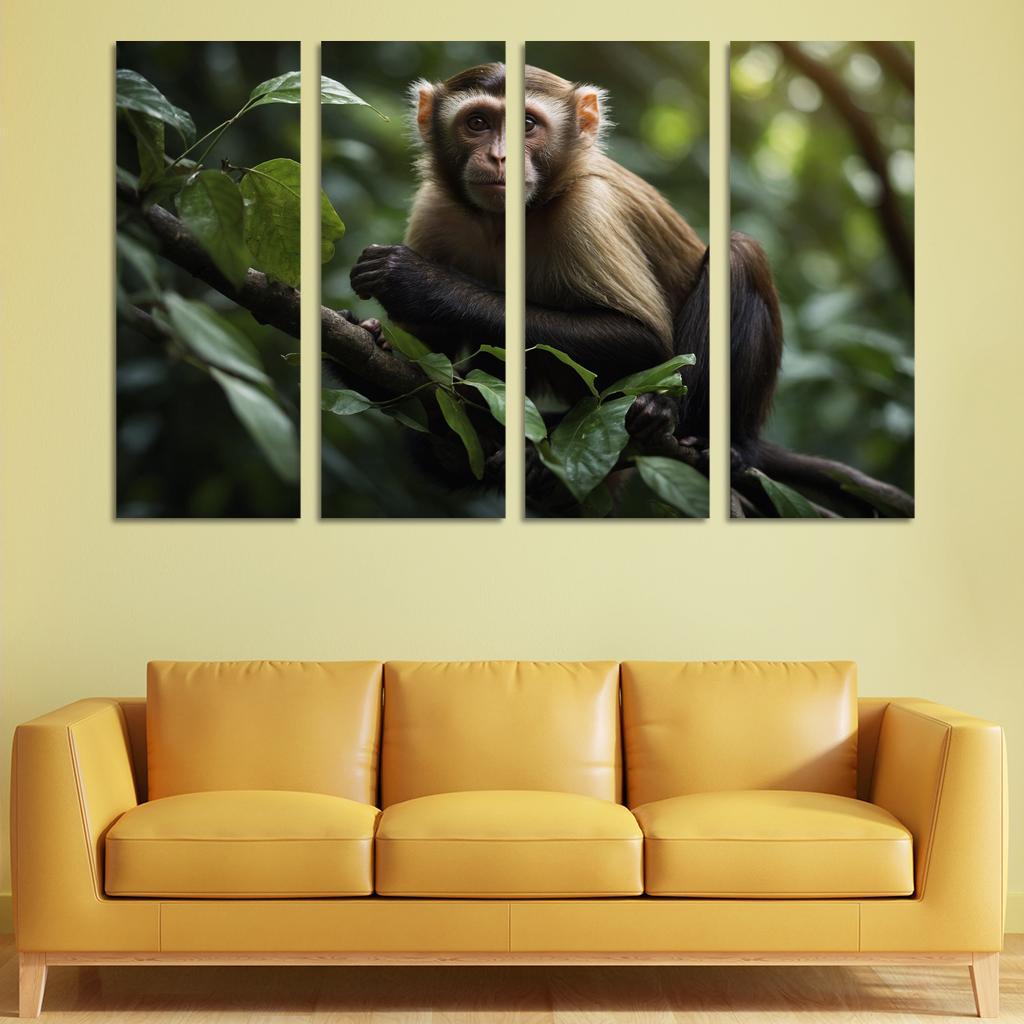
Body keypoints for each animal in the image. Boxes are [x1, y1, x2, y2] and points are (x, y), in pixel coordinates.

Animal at [346, 61, 784, 478]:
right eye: (477, 123)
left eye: (526, 124)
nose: (500, 157)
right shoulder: (435, 210)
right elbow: (427, 355)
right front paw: (373, 334)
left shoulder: (587, 210)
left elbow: (643, 338)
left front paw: (418, 282)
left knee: (739, 255)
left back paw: (701, 431)